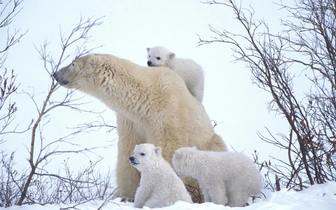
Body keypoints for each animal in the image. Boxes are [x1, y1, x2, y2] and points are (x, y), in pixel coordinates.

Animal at [54, 53, 228, 202]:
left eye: (72, 63)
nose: (56, 74)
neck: (146, 98)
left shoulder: (167, 118)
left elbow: (169, 151)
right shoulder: (131, 121)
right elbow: (127, 153)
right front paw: (124, 196)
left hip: (211, 143)